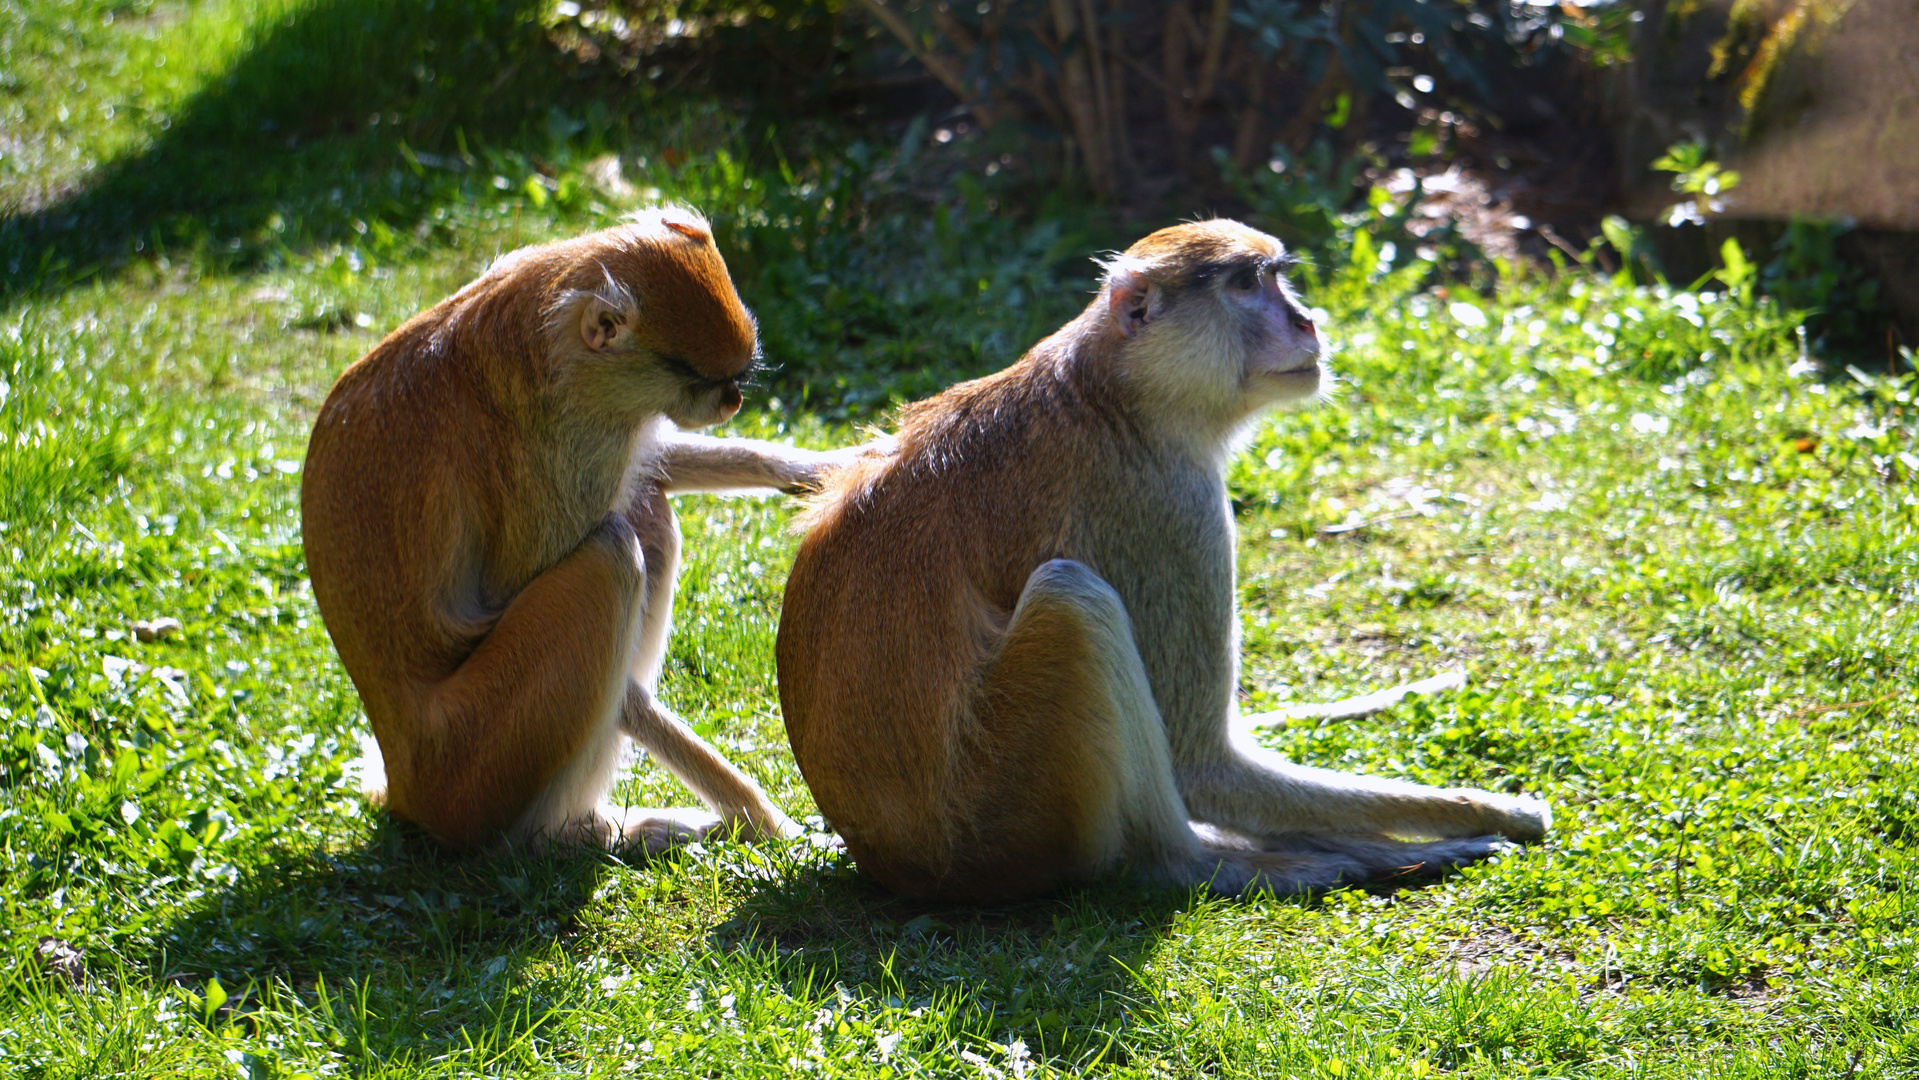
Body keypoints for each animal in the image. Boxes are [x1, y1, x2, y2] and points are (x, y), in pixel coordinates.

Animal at [303, 209, 852, 855]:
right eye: (698, 376)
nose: (734, 399)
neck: (547, 324)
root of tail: (407, 786)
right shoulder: (564, 442)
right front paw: (769, 822)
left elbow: (653, 467)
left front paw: (820, 468)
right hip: (476, 768)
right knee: (612, 553)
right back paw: (572, 833)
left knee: (646, 516)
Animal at [771, 219, 1550, 905]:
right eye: (1246, 284)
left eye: (1277, 277)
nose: (1308, 321)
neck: (1114, 391)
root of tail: (901, 866)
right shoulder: (1170, 512)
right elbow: (1202, 763)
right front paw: (1491, 811)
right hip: (1013, 810)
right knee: (1072, 601)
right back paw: (1212, 862)